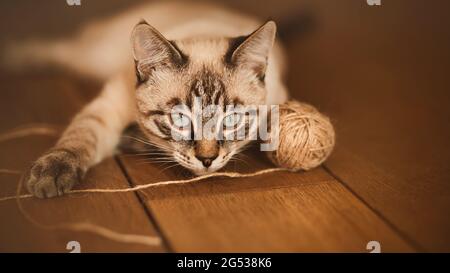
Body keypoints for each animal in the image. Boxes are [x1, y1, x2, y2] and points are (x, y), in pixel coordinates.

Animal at [5, 2, 288, 198]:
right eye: (180, 119)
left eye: (231, 120)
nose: (207, 160)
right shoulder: (109, 106)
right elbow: (79, 138)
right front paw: (51, 176)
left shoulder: (279, 99)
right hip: (92, 56)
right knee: (57, 49)